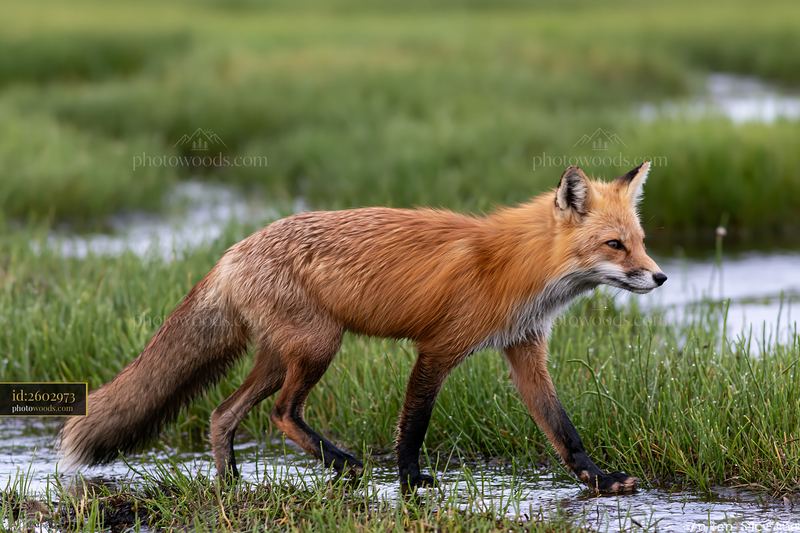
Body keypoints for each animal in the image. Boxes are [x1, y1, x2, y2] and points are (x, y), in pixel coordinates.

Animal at [60, 162, 666, 494]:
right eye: (615, 245)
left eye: (639, 240)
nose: (660, 277)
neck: (517, 266)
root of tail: (233, 251)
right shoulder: (438, 348)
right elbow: (414, 425)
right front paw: (410, 481)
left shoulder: (524, 349)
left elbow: (563, 430)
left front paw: (599, 479)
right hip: (318, 347)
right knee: (281, 413)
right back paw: (343, 465)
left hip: (281, 356)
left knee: (222, 413)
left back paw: (231, 483)